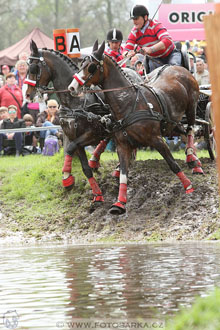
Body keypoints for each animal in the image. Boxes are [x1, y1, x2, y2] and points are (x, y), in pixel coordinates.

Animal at [69, 40, 205, 215]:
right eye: (81, 64)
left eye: (91, 66)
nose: (72, 87)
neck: (128, 103)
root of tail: (176, 68)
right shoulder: (122, 145)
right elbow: (123, 174)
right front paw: (119, 203)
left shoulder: (156, 139)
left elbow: (173, 164)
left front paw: (188, 186)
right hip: (174, 122)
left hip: (192, 107)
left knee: (191, 130)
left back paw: (193, 159)